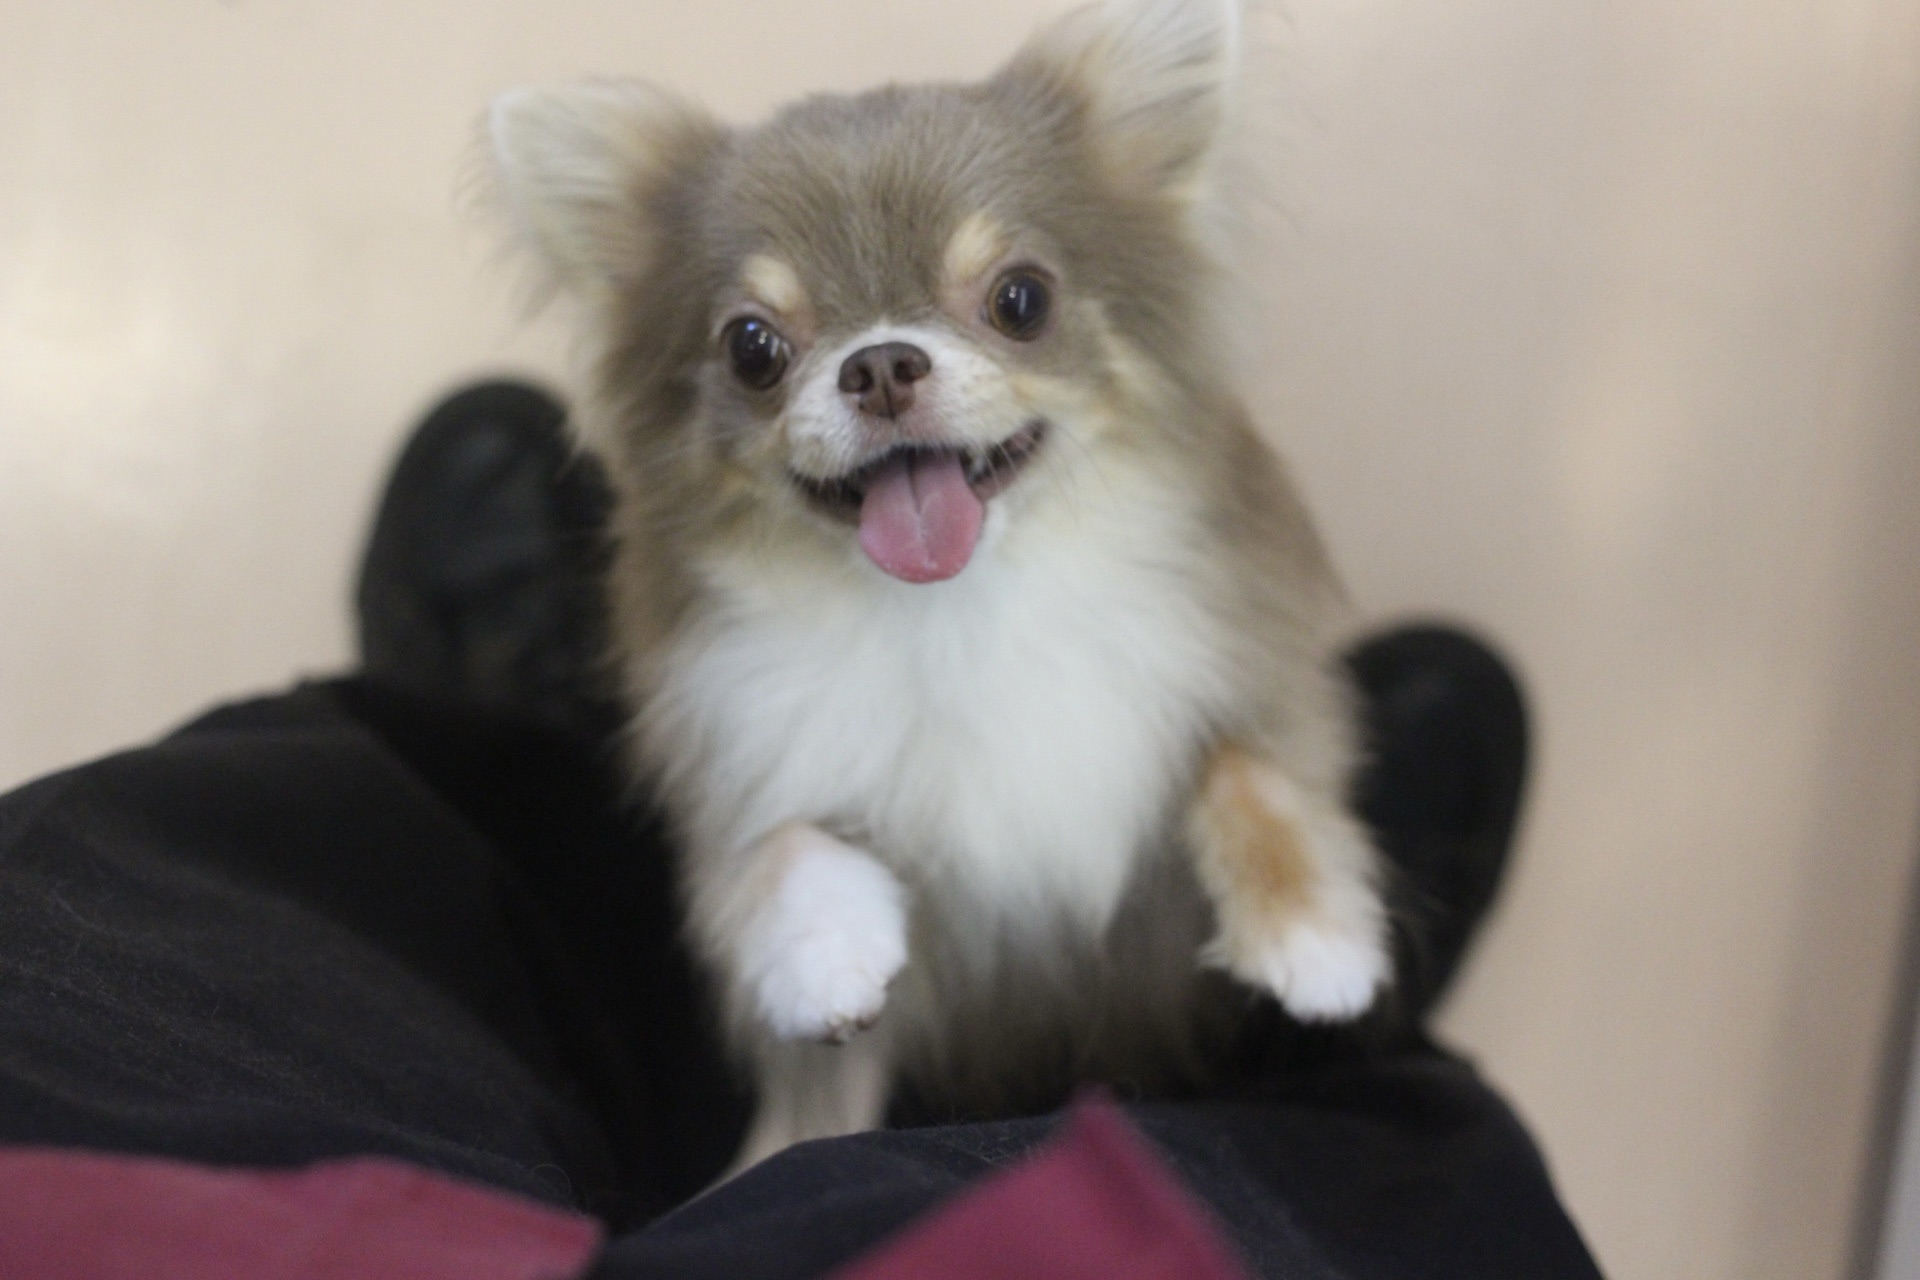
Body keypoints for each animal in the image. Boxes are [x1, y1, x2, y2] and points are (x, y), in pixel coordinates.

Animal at [488, 0, 1390, 1172]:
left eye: (1021, 299)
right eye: (752, 347)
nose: (878, 365)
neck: (955, 611)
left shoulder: (1220, 702)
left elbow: (1253, 765)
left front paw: (1311, 929)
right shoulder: (738, 755)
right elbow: (766, 845)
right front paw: (826, 940)